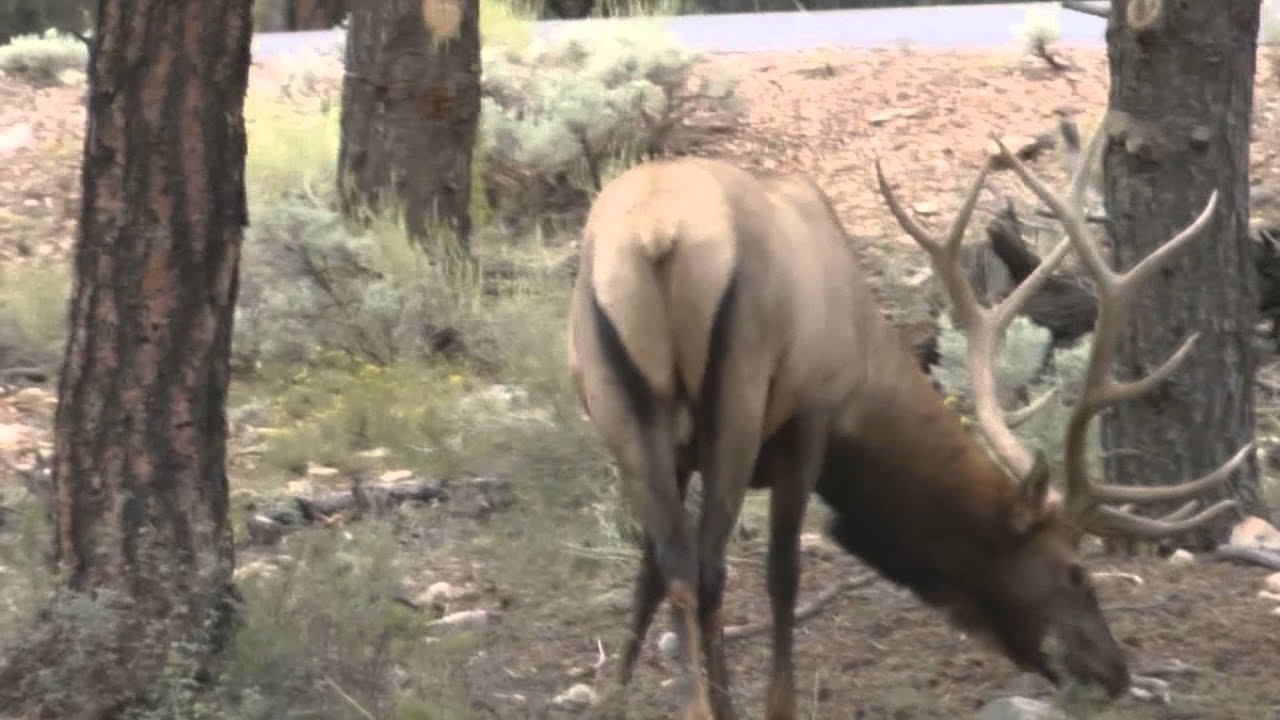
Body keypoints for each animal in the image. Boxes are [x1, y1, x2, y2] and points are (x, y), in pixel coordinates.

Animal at [565, 116, 1251, 720]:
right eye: (1076, 571)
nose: (1115, 673)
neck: (867, 369)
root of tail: (658, 236)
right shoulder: (810, 416)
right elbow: (783, 571)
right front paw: (776, 704)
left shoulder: (683, 451)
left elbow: (647, 572)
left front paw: (616, 692)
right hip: (737, 392)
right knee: (708, 566)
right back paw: (717, 708)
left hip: (621, 404)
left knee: (676, 562)